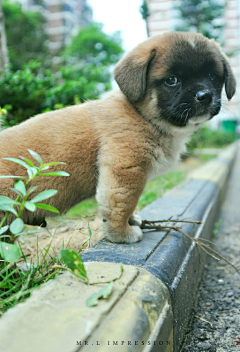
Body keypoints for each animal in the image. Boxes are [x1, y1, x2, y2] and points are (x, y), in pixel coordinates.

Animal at [0, 31, 235, 243]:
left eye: (212, 76)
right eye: (172, 80)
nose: (205, 96)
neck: (143, 116)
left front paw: (131, 222)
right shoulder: (125, 170)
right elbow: (121, 204)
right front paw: (121, 233)